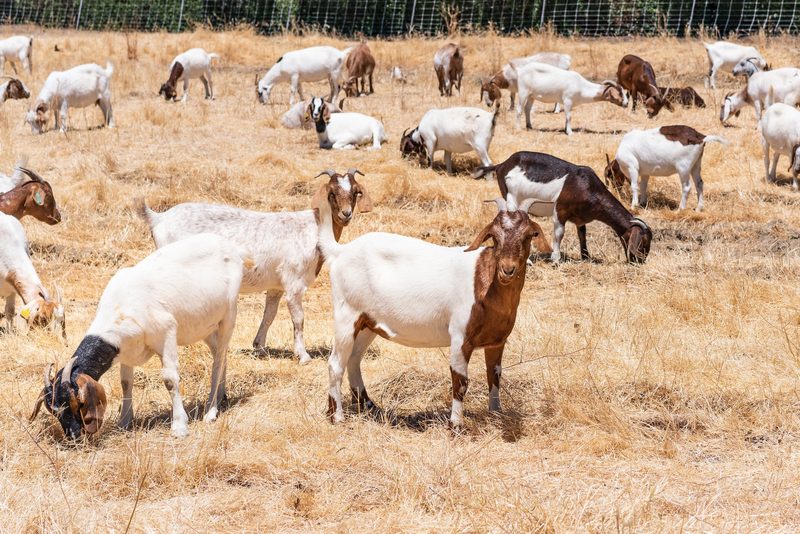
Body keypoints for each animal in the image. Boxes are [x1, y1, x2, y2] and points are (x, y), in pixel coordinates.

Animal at [29, 233, 248, 440]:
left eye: (78, 403)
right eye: (53, 410)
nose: (73, 435)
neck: (123, 306)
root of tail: (229, 247)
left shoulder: (167, 332)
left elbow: (170, 380)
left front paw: (179, 426)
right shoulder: (125, 349)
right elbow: (126, 383)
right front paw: (124, 422)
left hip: (229, 314)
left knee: (218, 360)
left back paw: (211, 411)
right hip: (205, 326)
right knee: (220, 353)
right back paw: (221, 397)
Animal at [138, 170, 372, 363]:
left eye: (355, 192)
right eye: (332, 193)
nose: (345, 214)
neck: (315, 227)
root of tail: (159, 218)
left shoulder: (277, 286)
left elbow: (269, 315)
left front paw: (259, 346)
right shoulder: (294, 282)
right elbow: (298, 318)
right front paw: (303, 356)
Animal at [316, 173, 549, 428]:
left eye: (529, 235)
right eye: (494, 237)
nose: (507, 269)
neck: (485, 282)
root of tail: (341, 251)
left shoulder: (497, 340)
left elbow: (494, 375)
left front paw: (496, 414)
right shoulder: (459, 336)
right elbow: (460, 381)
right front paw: (456, 425)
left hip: (368, 322)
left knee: (354, 359)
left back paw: (370, 406)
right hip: (346, 314)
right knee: (335, 363)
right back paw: (336, 416)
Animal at [474, 151, 652, 264]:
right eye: (643, 241)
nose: (640, 261)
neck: (585, 187)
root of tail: (502, 165)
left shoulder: (581, 218)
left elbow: (582, 235)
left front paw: (586, 257)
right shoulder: (560, 211)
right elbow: (559, 234)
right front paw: (556, 259)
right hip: (511, 198)